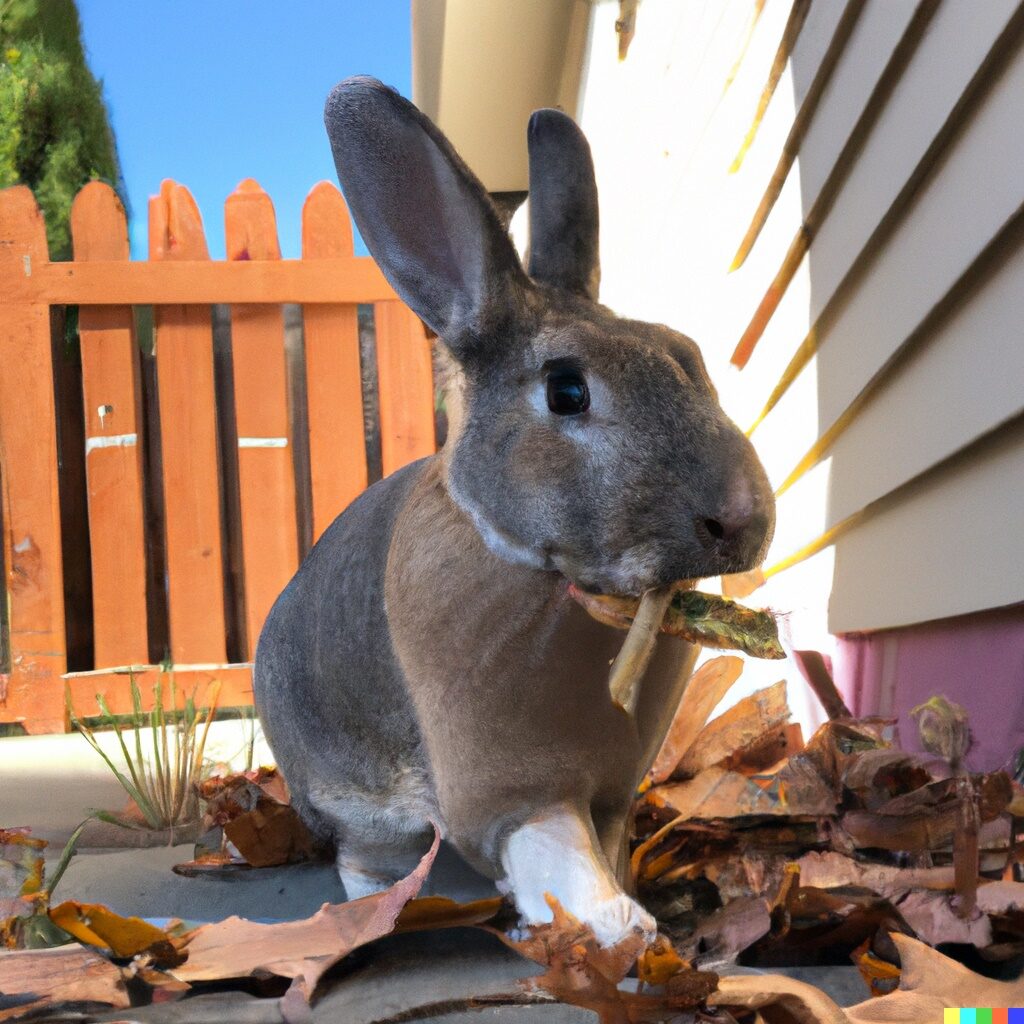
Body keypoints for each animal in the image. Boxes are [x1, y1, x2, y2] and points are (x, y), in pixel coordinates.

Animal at [251, 75, 770, 946]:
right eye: (566, 390)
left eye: (688, 354)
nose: (743, 519)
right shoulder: (506, 782)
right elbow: (553, 846)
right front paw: (618, 926)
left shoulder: (614, 785)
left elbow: (604, 837)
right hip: (358, 810)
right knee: (367, 860)